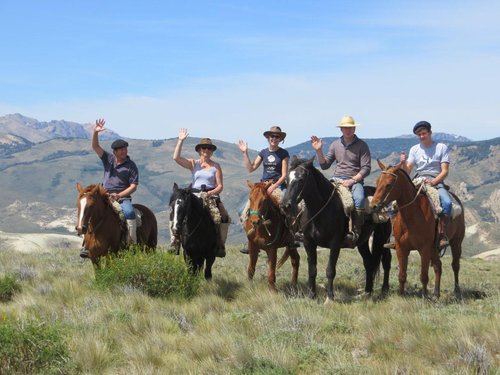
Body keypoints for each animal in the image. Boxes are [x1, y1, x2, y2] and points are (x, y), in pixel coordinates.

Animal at [280, 158, 392, 302]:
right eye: (287, 179)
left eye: (301, 179)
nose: (285, 205)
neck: (320, 209)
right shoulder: (308, 242)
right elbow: (312, 269)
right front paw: (311, 295)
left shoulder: (335, 243)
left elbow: (330, 270)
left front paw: (330, 297)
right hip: (362, 242)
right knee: (369, 262)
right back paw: (367, 292)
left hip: (384, 238)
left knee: (386, 261)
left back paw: (384, 290)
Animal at [370, 162, 466, 300]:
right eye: (378, 182)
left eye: (389, 184)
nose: (373, 206)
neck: (412, 215)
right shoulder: (401, 248)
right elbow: (402, 274)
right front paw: (401, 295)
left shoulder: (424, 249)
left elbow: (424, 276)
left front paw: (424, 297)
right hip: (434, 248)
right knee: (438, 266)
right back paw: (436, 294)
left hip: (456, 242)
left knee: (455, 266)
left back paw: (456, 291)